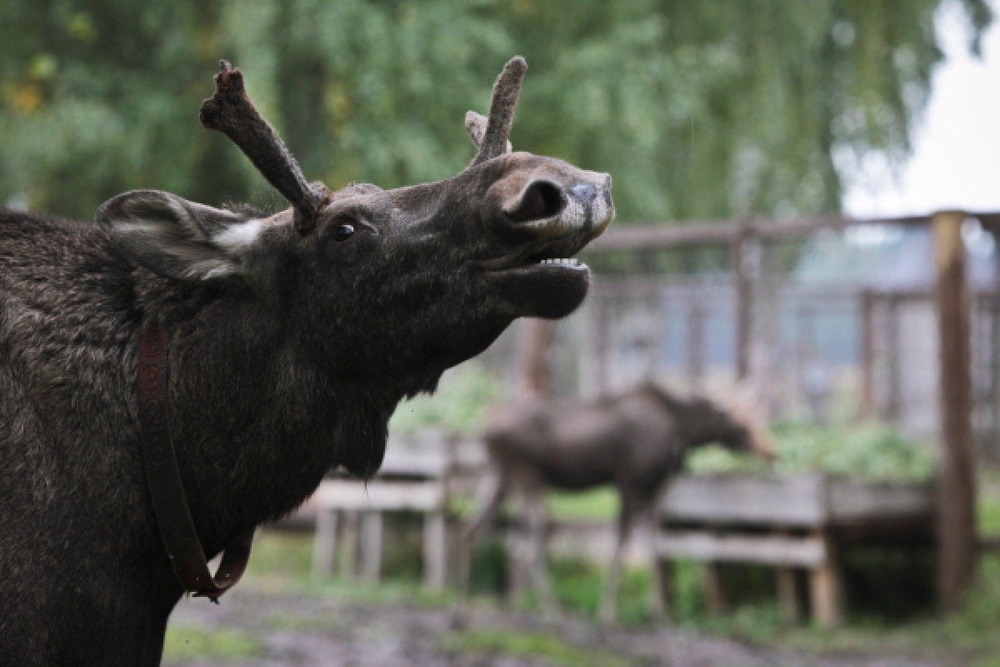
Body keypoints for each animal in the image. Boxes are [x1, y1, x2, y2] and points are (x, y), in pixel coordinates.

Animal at [460, 384, 772, 624]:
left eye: (760, 416)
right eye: (742, 424)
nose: (770, 451)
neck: (681, 430)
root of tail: (484, 428)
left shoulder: (653, 489)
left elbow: (655, 548)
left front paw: (660, 612)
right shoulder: (630, 483)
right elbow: (623, 545)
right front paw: (608, 611)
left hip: (498, 476)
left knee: (473, 530)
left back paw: (465, 598)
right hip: (528, 477)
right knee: (527, 542)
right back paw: (551, 608)